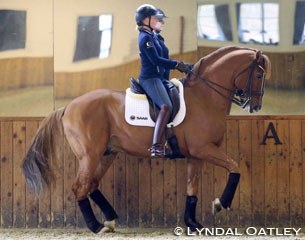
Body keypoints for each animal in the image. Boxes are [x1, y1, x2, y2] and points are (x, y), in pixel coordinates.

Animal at [22, 46, 270, 233]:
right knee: (79, 187)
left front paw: (192, 223)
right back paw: (96, 226)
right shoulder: (204, 149)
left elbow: (192, 188)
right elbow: (235, 168)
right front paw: (220, 203)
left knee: (91, 184)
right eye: (259, 75)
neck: (204, 97)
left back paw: (110, 219)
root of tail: (68, 107)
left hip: (107, 153)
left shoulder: (195, 155)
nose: (256, 106)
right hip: (89, 155)